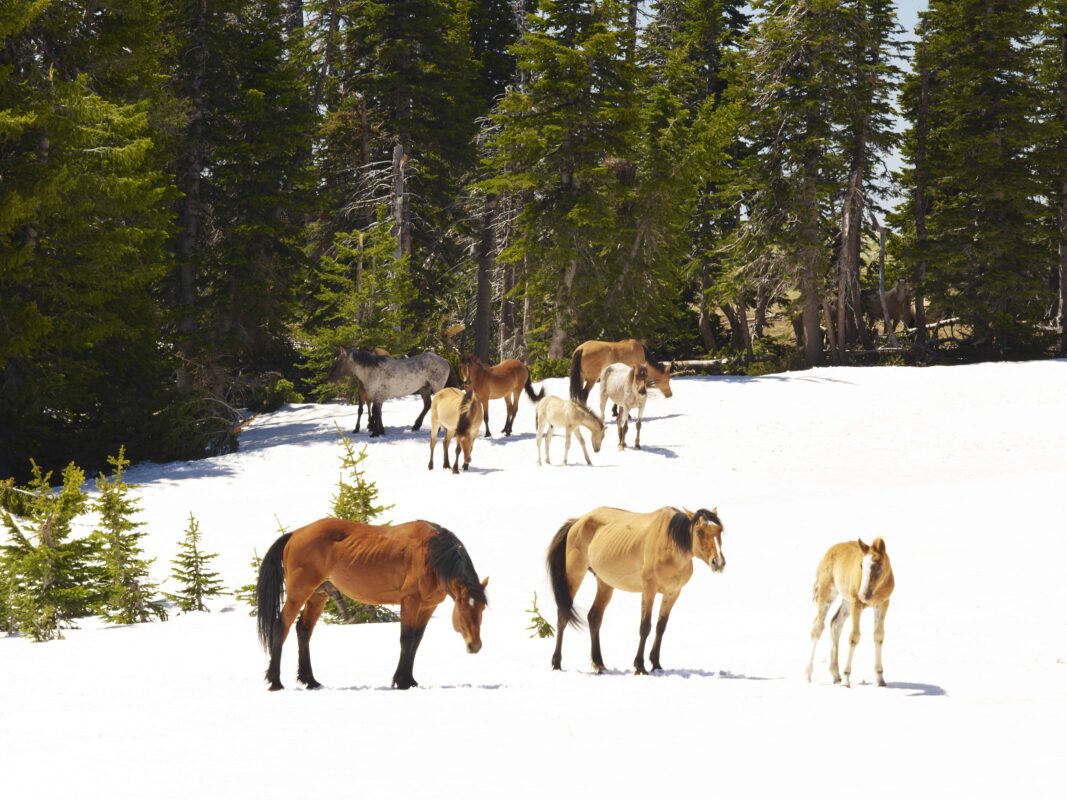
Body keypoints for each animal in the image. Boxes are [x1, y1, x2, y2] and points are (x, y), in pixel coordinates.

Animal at [256, 517, 488, 691]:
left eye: (482, 608)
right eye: (462, 607)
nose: (475, 646)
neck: (431, 554)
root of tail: (296, 534)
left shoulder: (428, 606)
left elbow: (416, 640)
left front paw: (410, 680)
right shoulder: (410, 600)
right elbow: (406, 639)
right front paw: (401, 681)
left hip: (318, 595)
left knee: (303, 630)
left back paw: (310, 681)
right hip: (298, 593)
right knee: (282, 626)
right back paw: (275, 682)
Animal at [546, 506, 725, 674]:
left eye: (720, 530)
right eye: (699, 531)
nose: (718, 562)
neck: (669, 543)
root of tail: (578, 520)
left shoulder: (672, 593)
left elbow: (661, 627)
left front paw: (656, 664)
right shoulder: (649, 590)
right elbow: (645, 627)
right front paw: (640, 666)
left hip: (605, 583)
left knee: (594, 617)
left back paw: (599, 664)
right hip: (575, 573)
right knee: (563, 615)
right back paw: (557, 663)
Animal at [805, 537, 895, 688]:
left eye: (877, 565)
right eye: (861, 566)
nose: (863, 595)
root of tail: (829, 551)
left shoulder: (883, 604)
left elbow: (878, 636)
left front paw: (880, 678)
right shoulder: (856, 603)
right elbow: (854, 637)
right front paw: (846, 678)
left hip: (846, 601)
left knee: (835, 624)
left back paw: (836, 675)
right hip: (827, 594)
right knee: (817, 628)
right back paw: (808, 676)